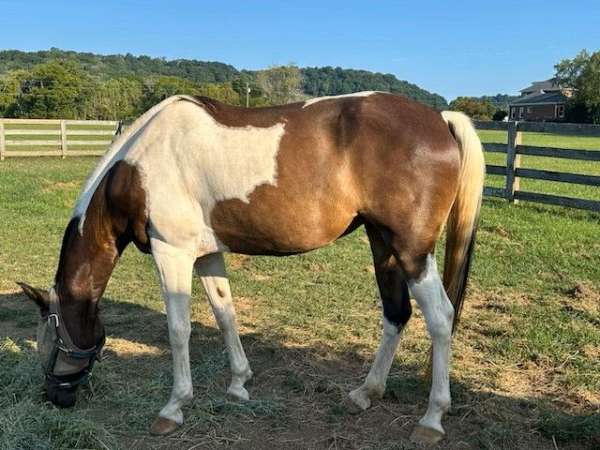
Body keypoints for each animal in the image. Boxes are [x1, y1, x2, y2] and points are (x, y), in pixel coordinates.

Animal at [21, 92, 486, 446]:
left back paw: (431, 419)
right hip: (382, 242)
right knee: (396, 313)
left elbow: (179, 330)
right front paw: (238, 383)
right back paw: (365, 393)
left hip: (412, 251)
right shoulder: (205, 254)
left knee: (441, 319)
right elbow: (225, 313)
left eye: (50, 342)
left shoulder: (171, 253)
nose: (54, 398)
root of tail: (438, 119)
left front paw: (174, 407)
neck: (139, 167)